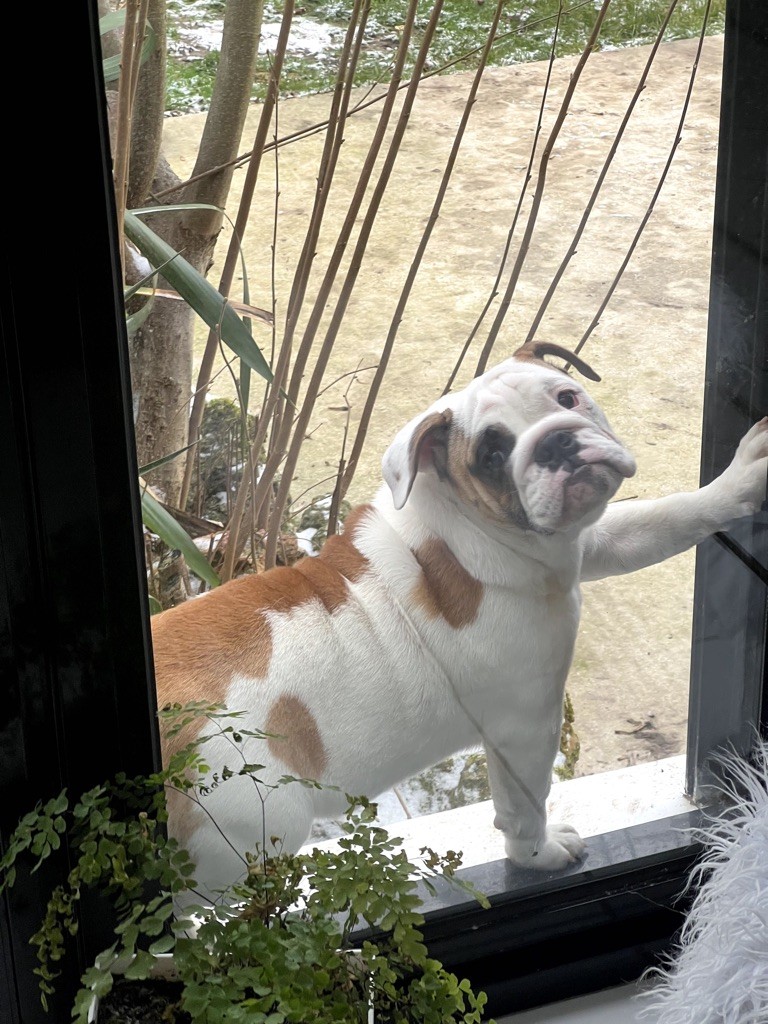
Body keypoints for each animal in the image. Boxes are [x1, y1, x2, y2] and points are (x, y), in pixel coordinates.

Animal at [151, 340, 768, 896]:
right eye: (492, 459)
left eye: (567, 397)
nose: (557, 440)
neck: (463, 528)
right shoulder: (526, 728)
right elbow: (525, 807)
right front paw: (540, 857)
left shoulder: (583, 541)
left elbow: (661, 520)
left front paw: (739, 481)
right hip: (235, 847)